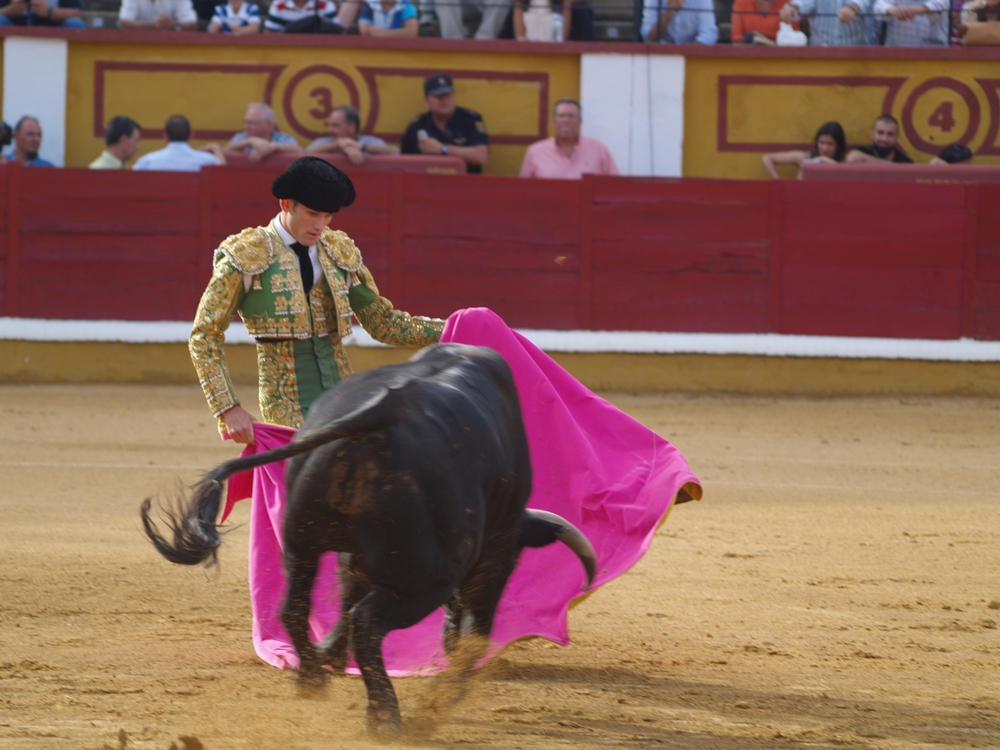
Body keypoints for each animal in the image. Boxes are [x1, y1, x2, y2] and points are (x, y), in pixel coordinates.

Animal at [141, 346, 592, 736]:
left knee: (297, 606)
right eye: (518, 558)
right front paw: (454, 687)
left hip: (302, 542)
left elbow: (345, 590)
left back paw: (312, 680)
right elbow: (479, 624)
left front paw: (332, 657)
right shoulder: (495, 550)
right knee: (367, 621)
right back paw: (387, 717)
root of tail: (379, 412)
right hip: (423, 579)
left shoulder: (352, 552)